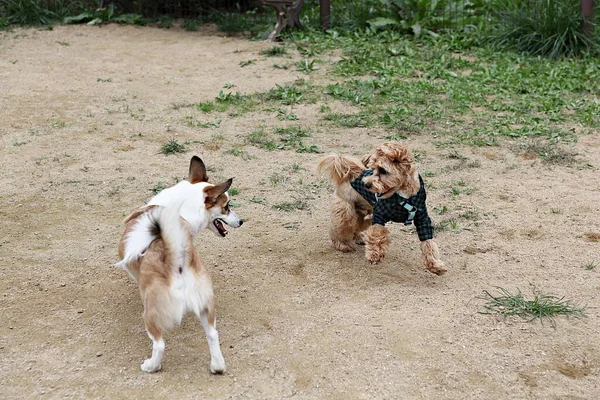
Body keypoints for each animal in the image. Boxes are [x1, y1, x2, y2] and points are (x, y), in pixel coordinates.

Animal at [116, 155, 243, 372]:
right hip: (205, 305)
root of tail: (178, 258)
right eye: (227, 207)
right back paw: (217, 366)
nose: (241, 221)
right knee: (213, 334)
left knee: (159, 344)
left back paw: (150, 366)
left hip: (151, 314)